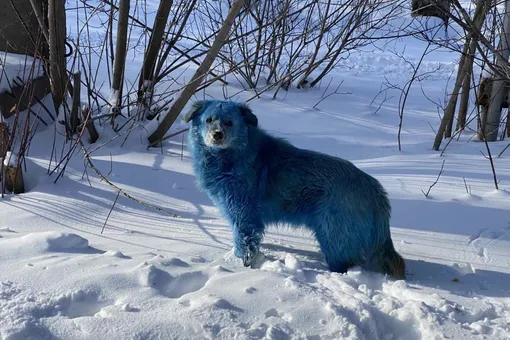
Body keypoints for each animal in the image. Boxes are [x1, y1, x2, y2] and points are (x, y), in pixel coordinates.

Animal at [185, 99, 404, 278]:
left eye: (229, 122)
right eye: (209, 120)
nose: (217, 135)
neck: (234, 155)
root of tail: (375, 191)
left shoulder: (243, 216)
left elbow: (244, 243)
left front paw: (240, 266)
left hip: (333, 237)